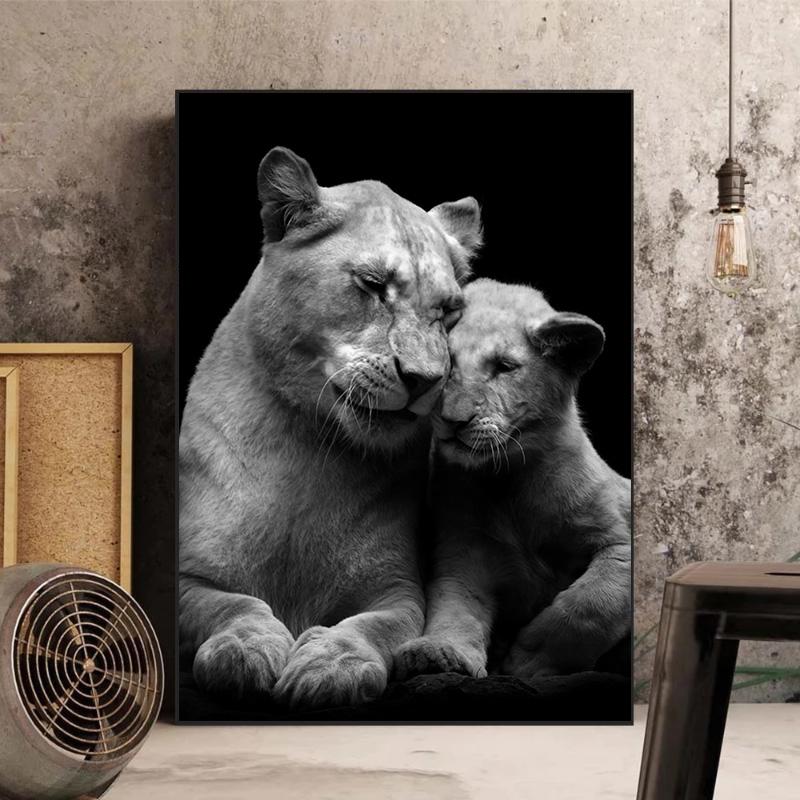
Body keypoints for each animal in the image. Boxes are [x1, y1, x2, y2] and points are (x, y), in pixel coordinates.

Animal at [178, 147, 481, 709]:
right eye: (373, 285)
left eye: (449, 311)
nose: (425, 380)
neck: (308, 447)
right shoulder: (187, 576)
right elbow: (233, 606)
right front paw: (242, 652)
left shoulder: (398, 591)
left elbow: (372, 627)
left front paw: (330, 666)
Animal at [394, 278, 631, 681]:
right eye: (449, 363)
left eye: (504, 367)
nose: (453, 419)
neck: (508, 478)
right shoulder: (463, 556)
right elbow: (454, 608)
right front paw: (438, 653)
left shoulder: (620, 544)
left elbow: (591, 603)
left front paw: (527, 662)